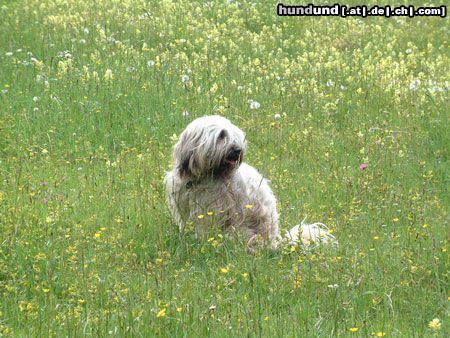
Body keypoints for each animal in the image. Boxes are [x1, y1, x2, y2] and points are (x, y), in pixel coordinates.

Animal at [164, 115, 334, 250]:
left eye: (236, 136)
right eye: (221, 135)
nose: (238, 150)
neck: (202, 176)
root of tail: (275, 241)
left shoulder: (212, 212)